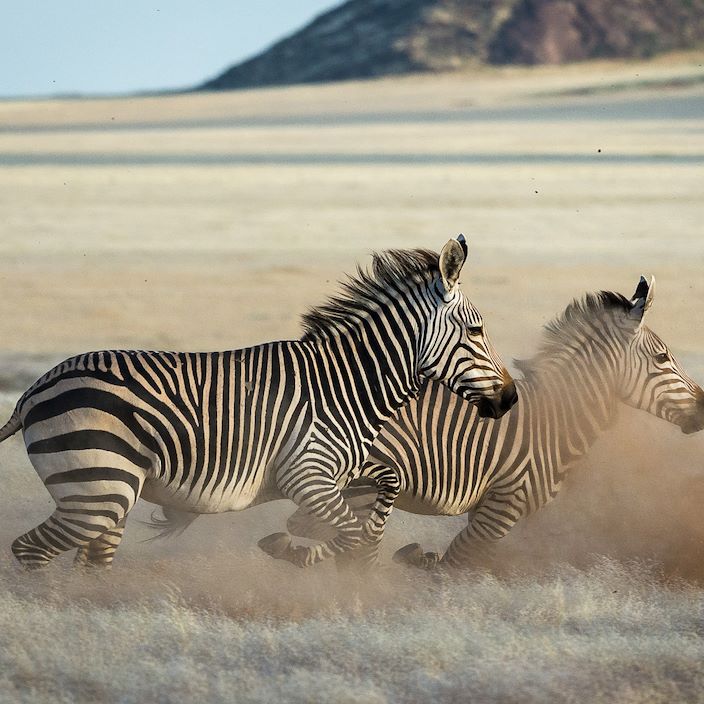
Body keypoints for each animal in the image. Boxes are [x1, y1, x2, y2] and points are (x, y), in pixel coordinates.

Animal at [1, 236, 516, 572]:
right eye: (476, 331)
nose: (510, 399)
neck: (346, 385)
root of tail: (34, 389)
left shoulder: (341, 469)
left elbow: (384, 492)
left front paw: (356, 559)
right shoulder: (307, 475)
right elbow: (349, 532)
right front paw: (329, 564)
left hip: (108, 492)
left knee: (89, 558)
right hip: (96, 488)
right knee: (31, 551)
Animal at [280, 278, 704, 568]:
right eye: (663, 358)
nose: (703, 408)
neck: (556, 418)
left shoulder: (484, 509)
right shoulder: (502, 508)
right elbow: (453, 567)